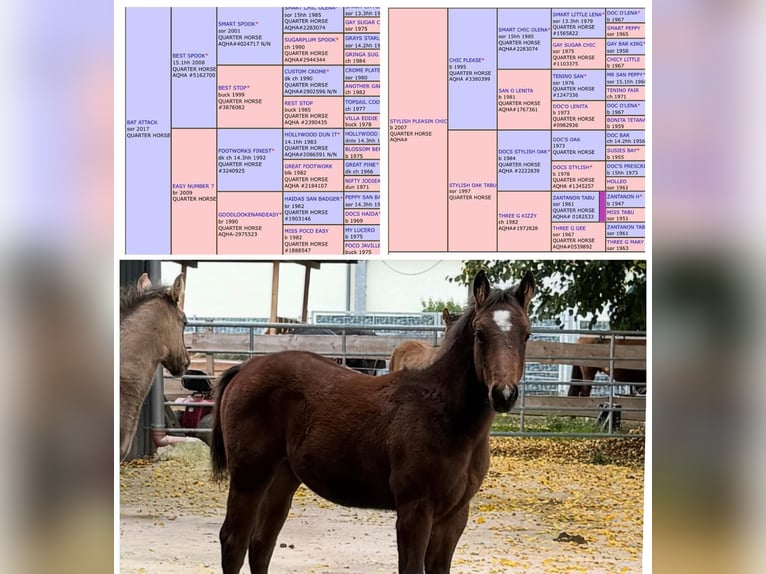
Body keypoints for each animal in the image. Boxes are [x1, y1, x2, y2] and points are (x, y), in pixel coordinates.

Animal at [210, 270, 534, 574]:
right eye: (480, 333)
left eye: (527, 334)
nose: (503, 394)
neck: (446, 417)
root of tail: (243, 369)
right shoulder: (415, 510)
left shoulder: (455, 515)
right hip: (250, 477)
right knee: (234, 541)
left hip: (282, 479)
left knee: (261, 544)